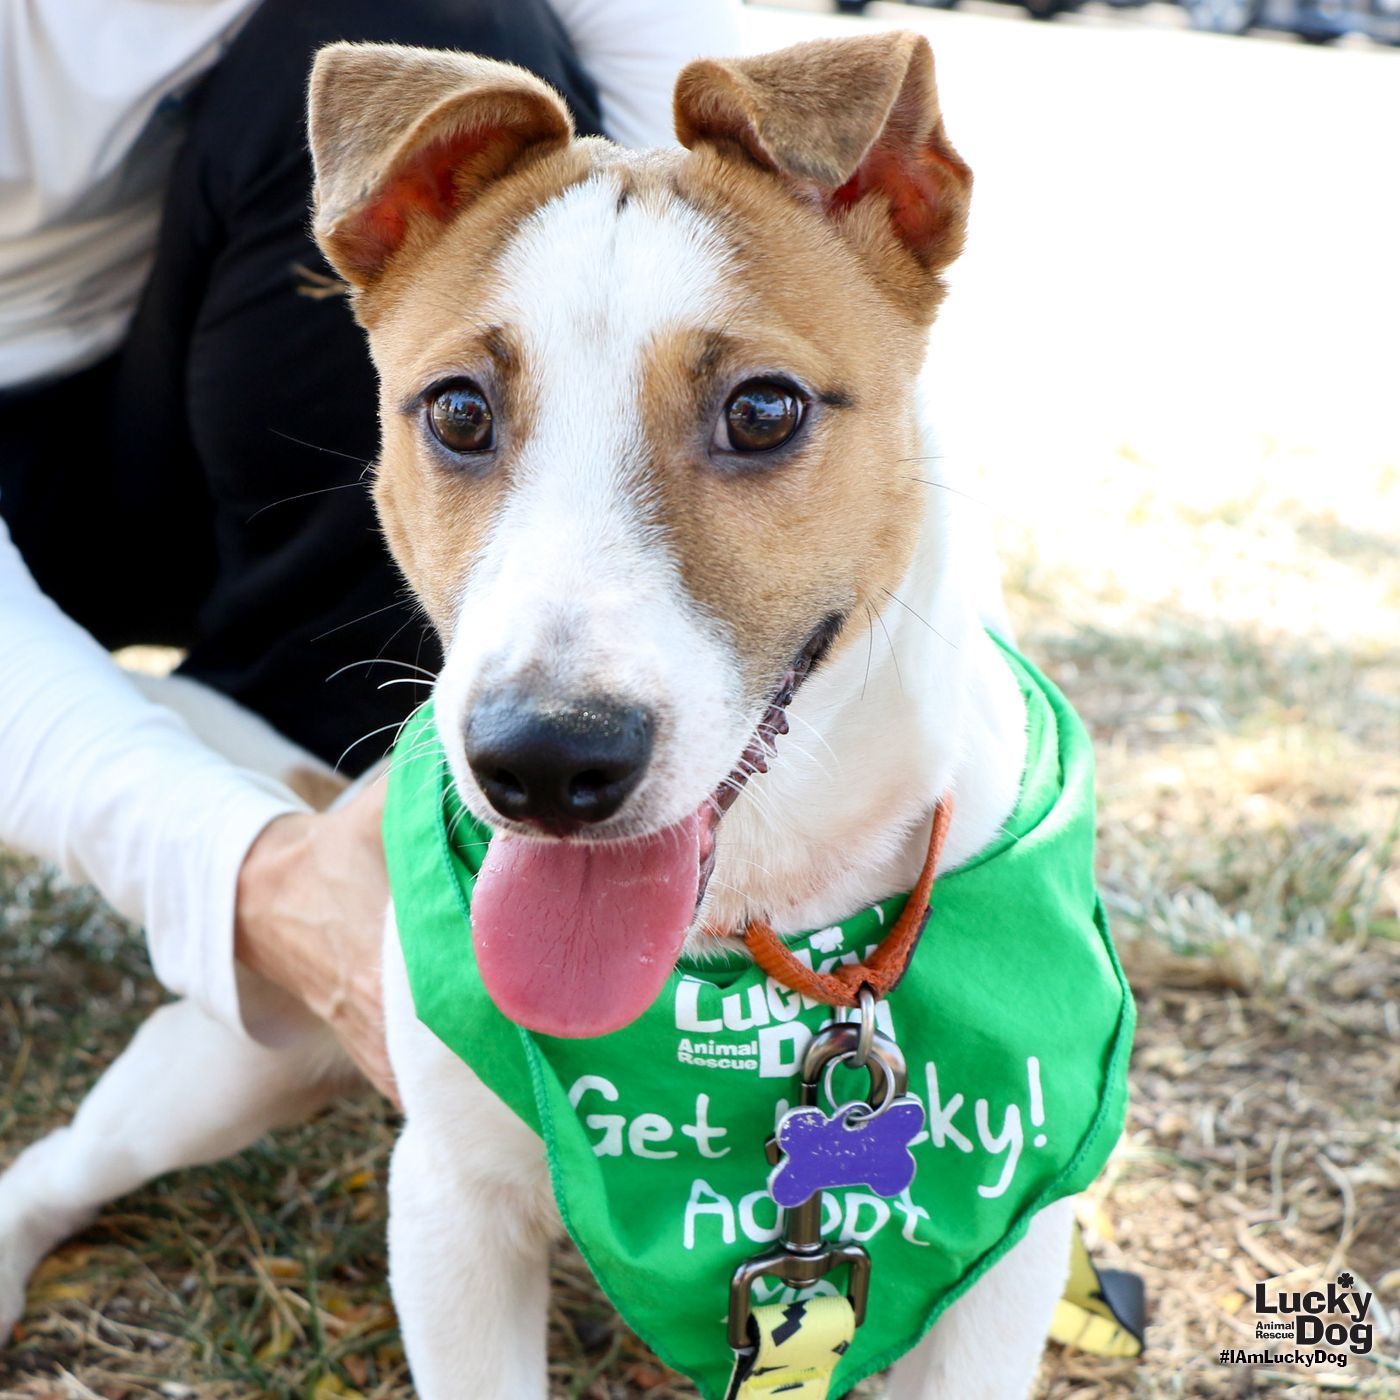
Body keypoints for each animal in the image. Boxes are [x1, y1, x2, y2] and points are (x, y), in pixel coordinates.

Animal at [0, 32, 1131, 1400]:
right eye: (456, 411)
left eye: (764, 409)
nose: (542, 762)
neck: (753, 930)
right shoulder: (449, 1207)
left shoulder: (1005, 1268)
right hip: (220, 1062)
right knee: (54, 1166)